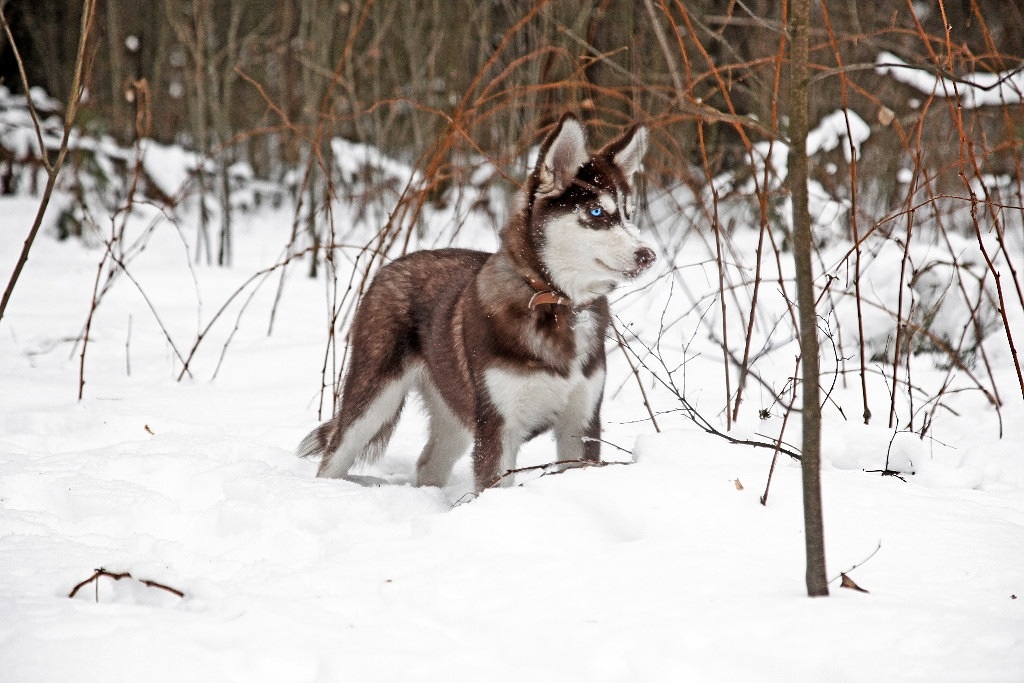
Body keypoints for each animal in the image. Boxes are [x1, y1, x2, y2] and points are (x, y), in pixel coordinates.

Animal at [299, 114, 655, 493]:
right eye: (597, 211)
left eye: (630, 214)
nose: (648, 255)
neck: (556, 304)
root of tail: (392, 265)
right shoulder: (499, 426)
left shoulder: (581, 422)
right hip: (373, 399)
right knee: (335, 453)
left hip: (454, 410)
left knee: (429, 462)